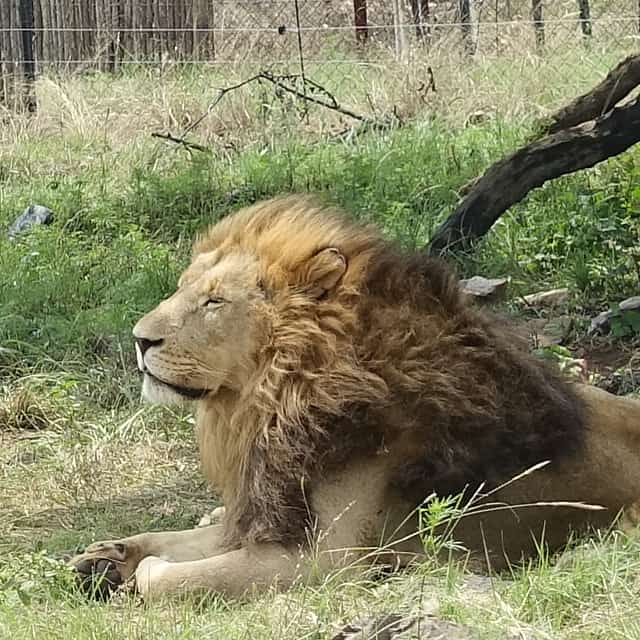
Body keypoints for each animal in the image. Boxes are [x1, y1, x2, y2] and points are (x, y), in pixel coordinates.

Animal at [72, 195, 640, 600]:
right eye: (183, 287)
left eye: (214, 302)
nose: (140, 339)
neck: (269, 403)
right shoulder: (268, 514)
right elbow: (172, 539)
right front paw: (104, 557)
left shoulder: (328, 562)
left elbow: (165, 575)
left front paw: (134, 569)